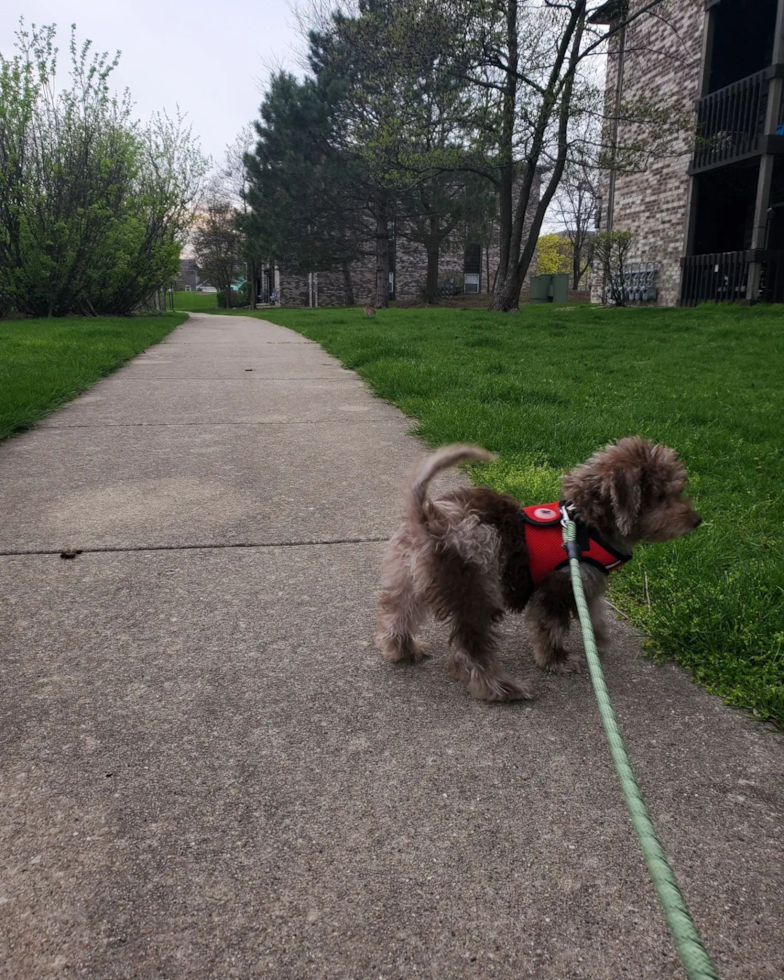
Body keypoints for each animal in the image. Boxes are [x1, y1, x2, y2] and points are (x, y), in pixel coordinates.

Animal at [376, 440, 700, 700]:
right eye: (662, 497)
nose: (697, 520)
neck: (585, 524)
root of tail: (430, 518)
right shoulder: (557, 588)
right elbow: (552, 630)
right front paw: (557, 661)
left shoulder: (587, 584)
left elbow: (595, 615)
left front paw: (598, 642)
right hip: (477, 589)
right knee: (470, 650)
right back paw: (500, 689)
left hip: (407, 581)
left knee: (397, 616)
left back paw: (404, 650)